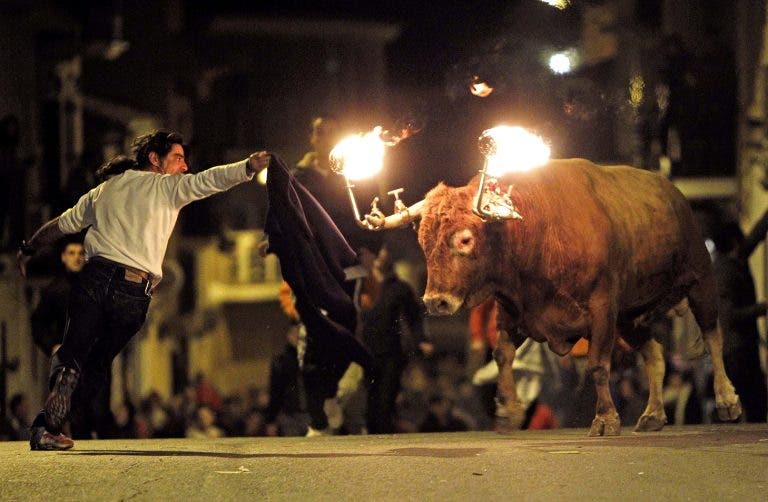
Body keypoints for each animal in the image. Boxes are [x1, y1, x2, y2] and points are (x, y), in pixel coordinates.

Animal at [376, 158, 740, 436]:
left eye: (465, 239)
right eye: (423, 241)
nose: (435, 301)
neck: (539, 231)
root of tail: (675, 195)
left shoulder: (603, 309)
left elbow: (598, 365)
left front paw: (605, 419)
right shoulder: (513, 312)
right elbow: (502, 355)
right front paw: (508, 412)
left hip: (699, 281)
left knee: (713, 336)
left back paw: (727, 401)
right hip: (631, 316)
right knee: (655, 355)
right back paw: (652, 415)